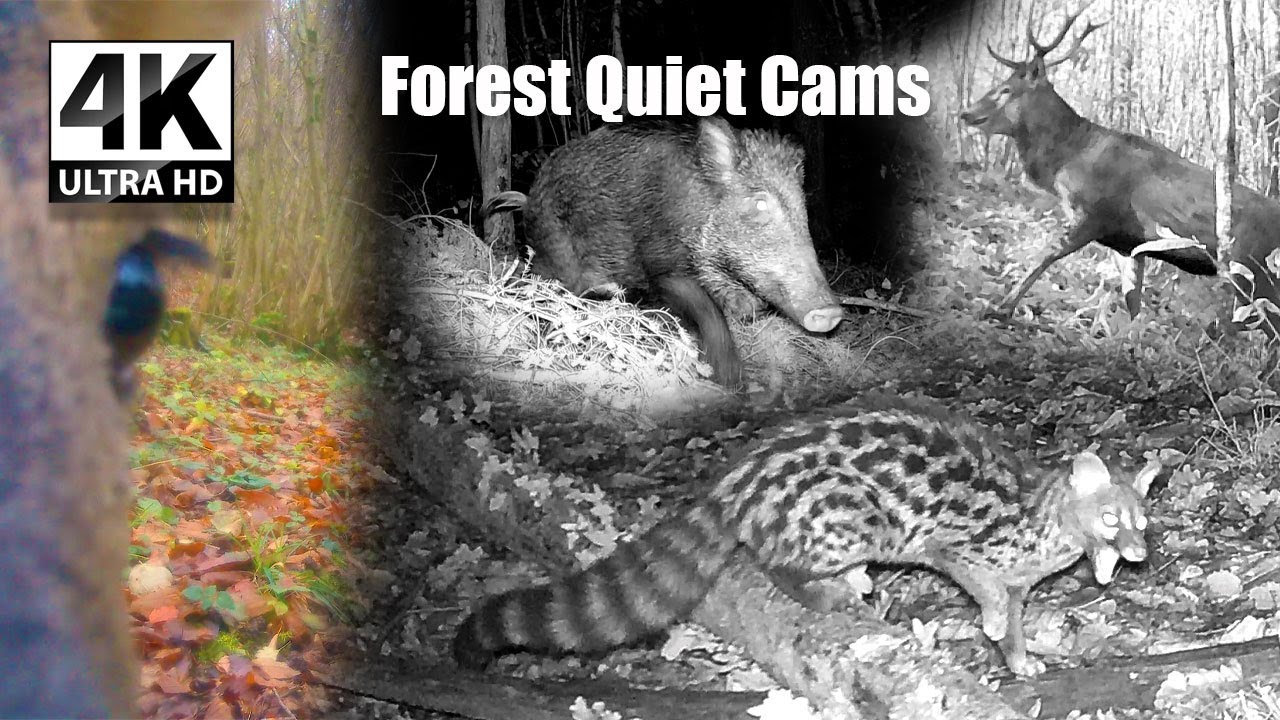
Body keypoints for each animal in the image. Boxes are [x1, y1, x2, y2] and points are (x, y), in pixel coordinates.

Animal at [959, 5, 1280, 337]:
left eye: (1005, 89)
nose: (965, 112)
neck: (1065, 163)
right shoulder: (1129, 244)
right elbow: (1132, 301)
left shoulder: (1094, 214)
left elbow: (1046, 255)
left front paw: (1000, 308)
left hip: (1253, 268)